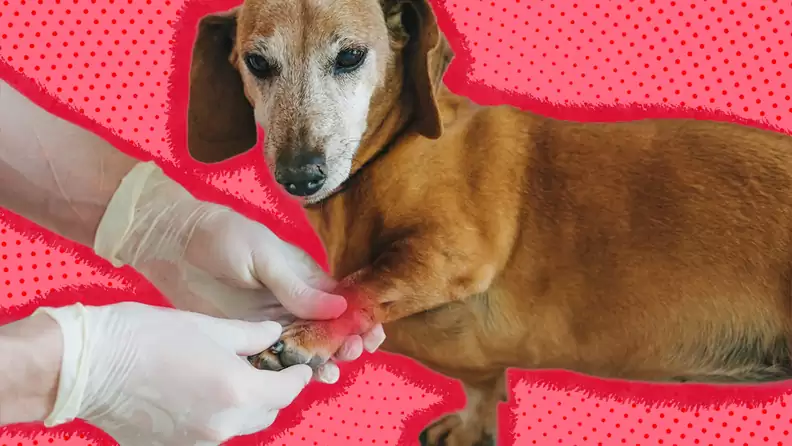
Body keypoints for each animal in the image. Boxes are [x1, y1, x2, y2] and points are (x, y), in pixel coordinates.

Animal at [187, 0, 792, 442]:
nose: (300, 175)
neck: (390, 154)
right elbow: (482, 386)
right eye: (257, 63)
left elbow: (363, 284)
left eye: (351, 55)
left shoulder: (452, 250)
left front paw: (311, 335)